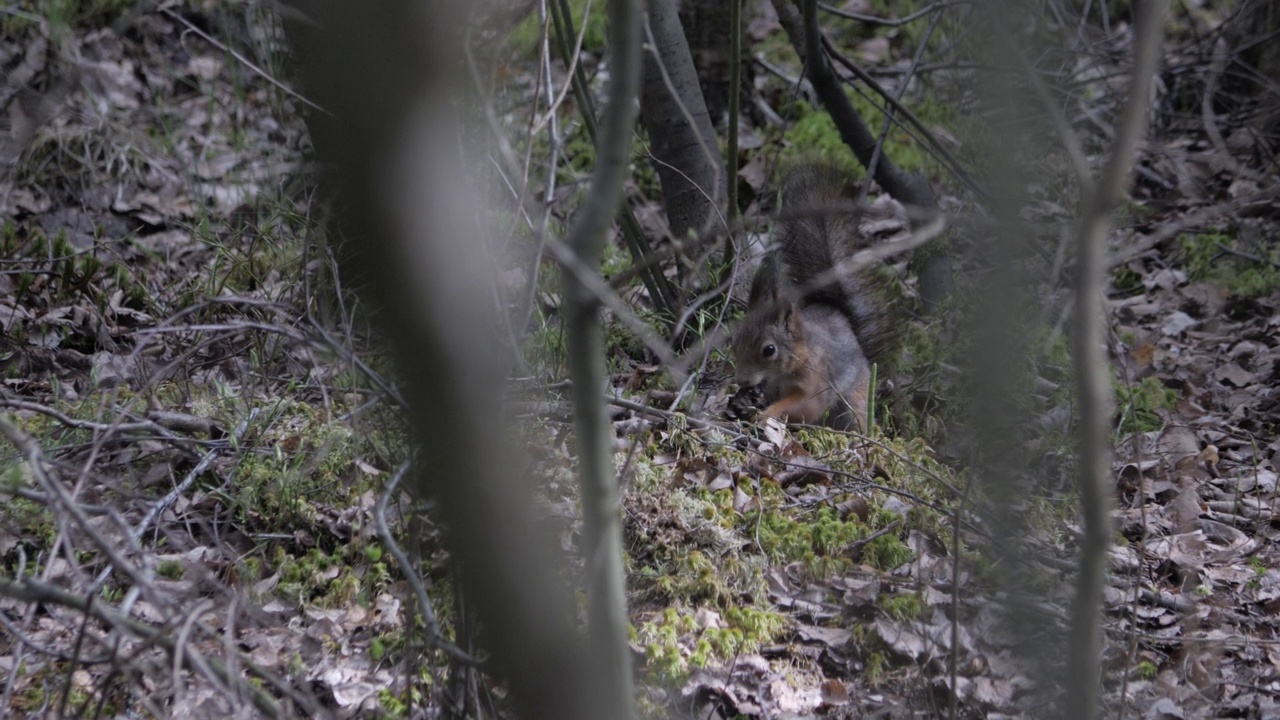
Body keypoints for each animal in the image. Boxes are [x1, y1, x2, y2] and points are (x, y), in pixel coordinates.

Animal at [727, 165, 896, 427]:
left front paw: (766, 414)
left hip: (854, 400)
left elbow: (808, 406)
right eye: (735, 342)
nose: (742, 380)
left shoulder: (816, 380)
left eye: (769, 350)